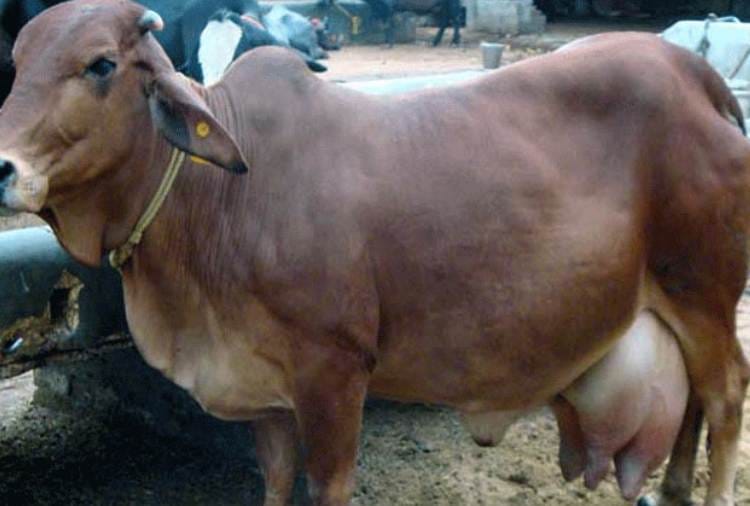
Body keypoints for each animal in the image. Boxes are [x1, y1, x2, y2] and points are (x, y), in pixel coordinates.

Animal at [1, 1, 749, 505]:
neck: (219, 196)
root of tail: (695, 72)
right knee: (690, 402)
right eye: (16, 63)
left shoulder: (334, 376)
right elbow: (276, 479)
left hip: (704, 292)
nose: (4, 167)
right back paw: (671, 490)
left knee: (724, 397)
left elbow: (327, 483)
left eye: (101, 65)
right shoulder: (265, 394)